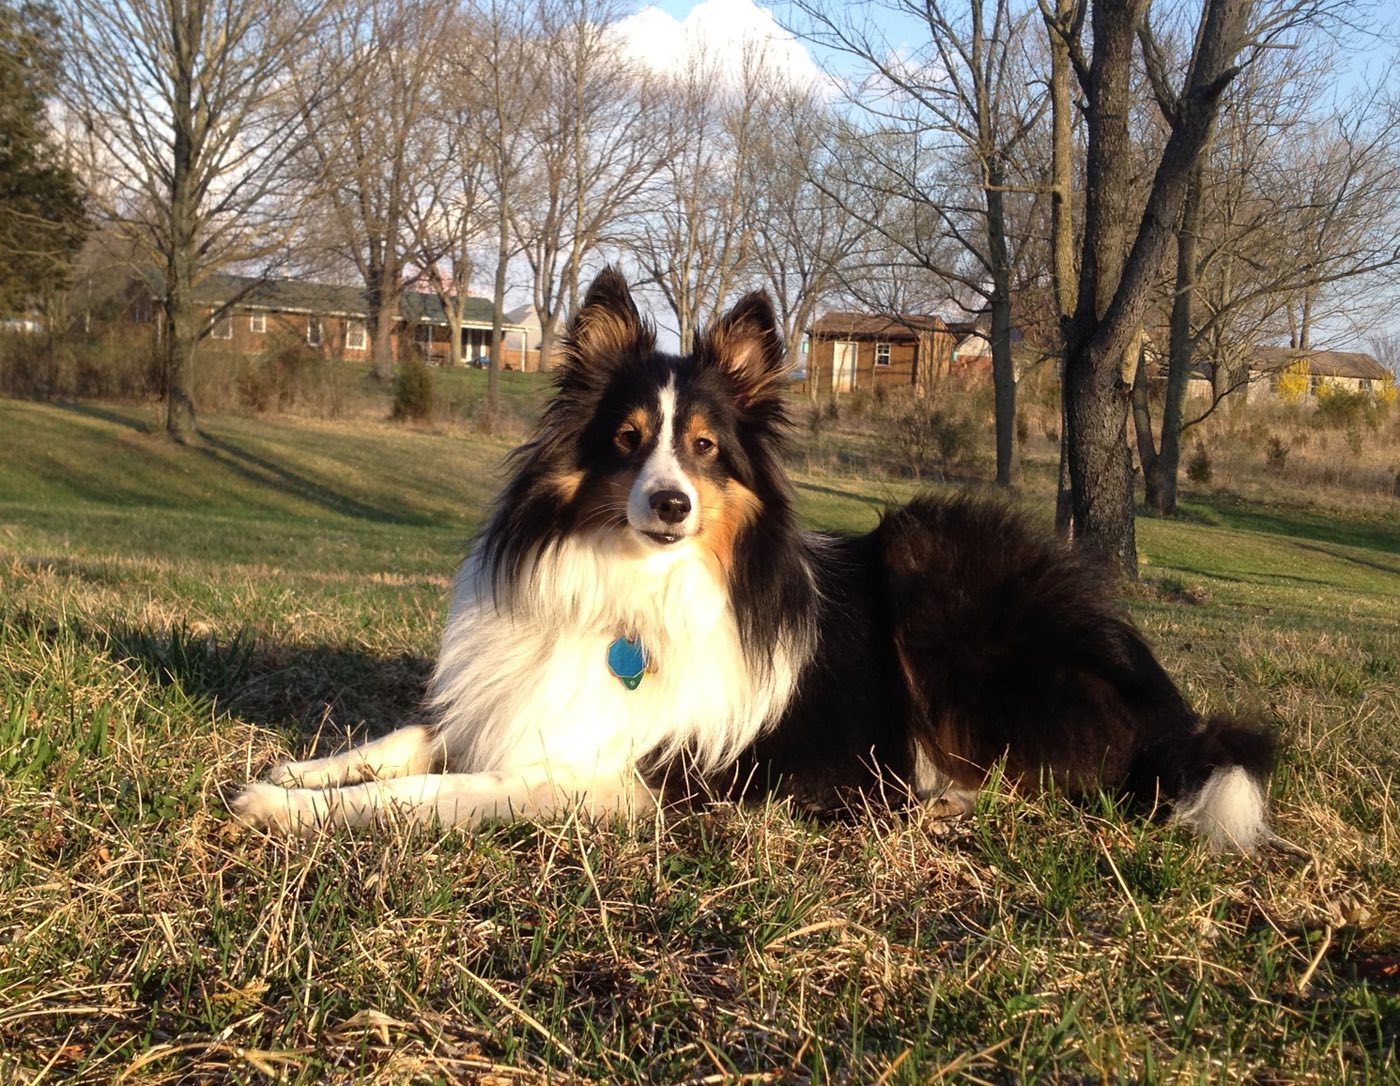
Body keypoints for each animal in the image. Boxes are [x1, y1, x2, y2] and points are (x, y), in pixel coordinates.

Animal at [232, 267, 1282, 850]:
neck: (636, 588)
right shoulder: (516, 705)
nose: (670, 504)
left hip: (932, 563)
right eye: (627, 440)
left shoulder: (625, 782)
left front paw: (292, 812)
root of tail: (1161, 694)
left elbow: (435, 789)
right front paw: (296, 776)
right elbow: (408, 739)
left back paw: (937, 802)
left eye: (704, 447)